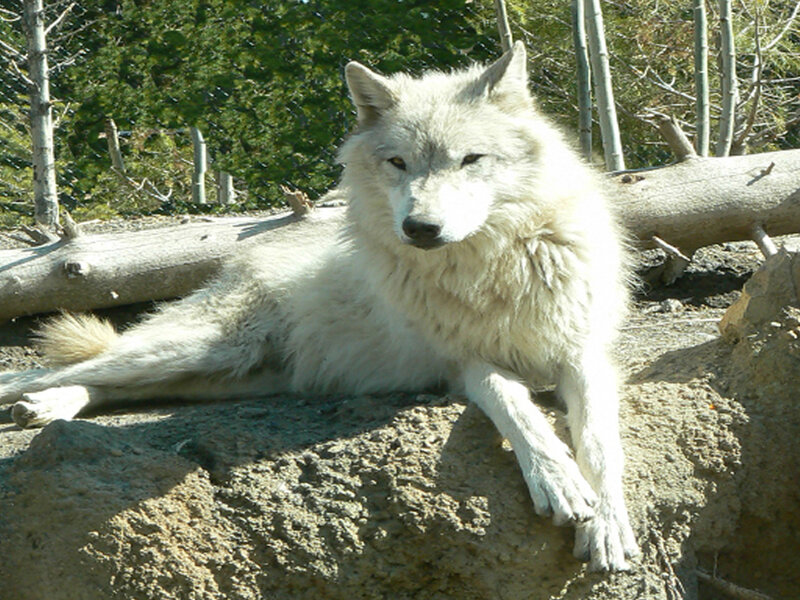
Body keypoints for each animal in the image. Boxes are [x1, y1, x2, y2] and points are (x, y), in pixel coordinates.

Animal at [0, 42, 638, 571]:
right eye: (398, 163)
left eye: (470, 159)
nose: (420, 228)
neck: (489, 266)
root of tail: (238, 261)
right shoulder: (463, 364)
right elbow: (516, 407)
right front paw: (557, 480)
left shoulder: (584, 352)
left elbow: (601, 442)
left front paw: (607, 524)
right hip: (200, 348)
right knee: (53, 371)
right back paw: (40, 401)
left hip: (231, 374)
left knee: (113, 388)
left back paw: (50, 407)